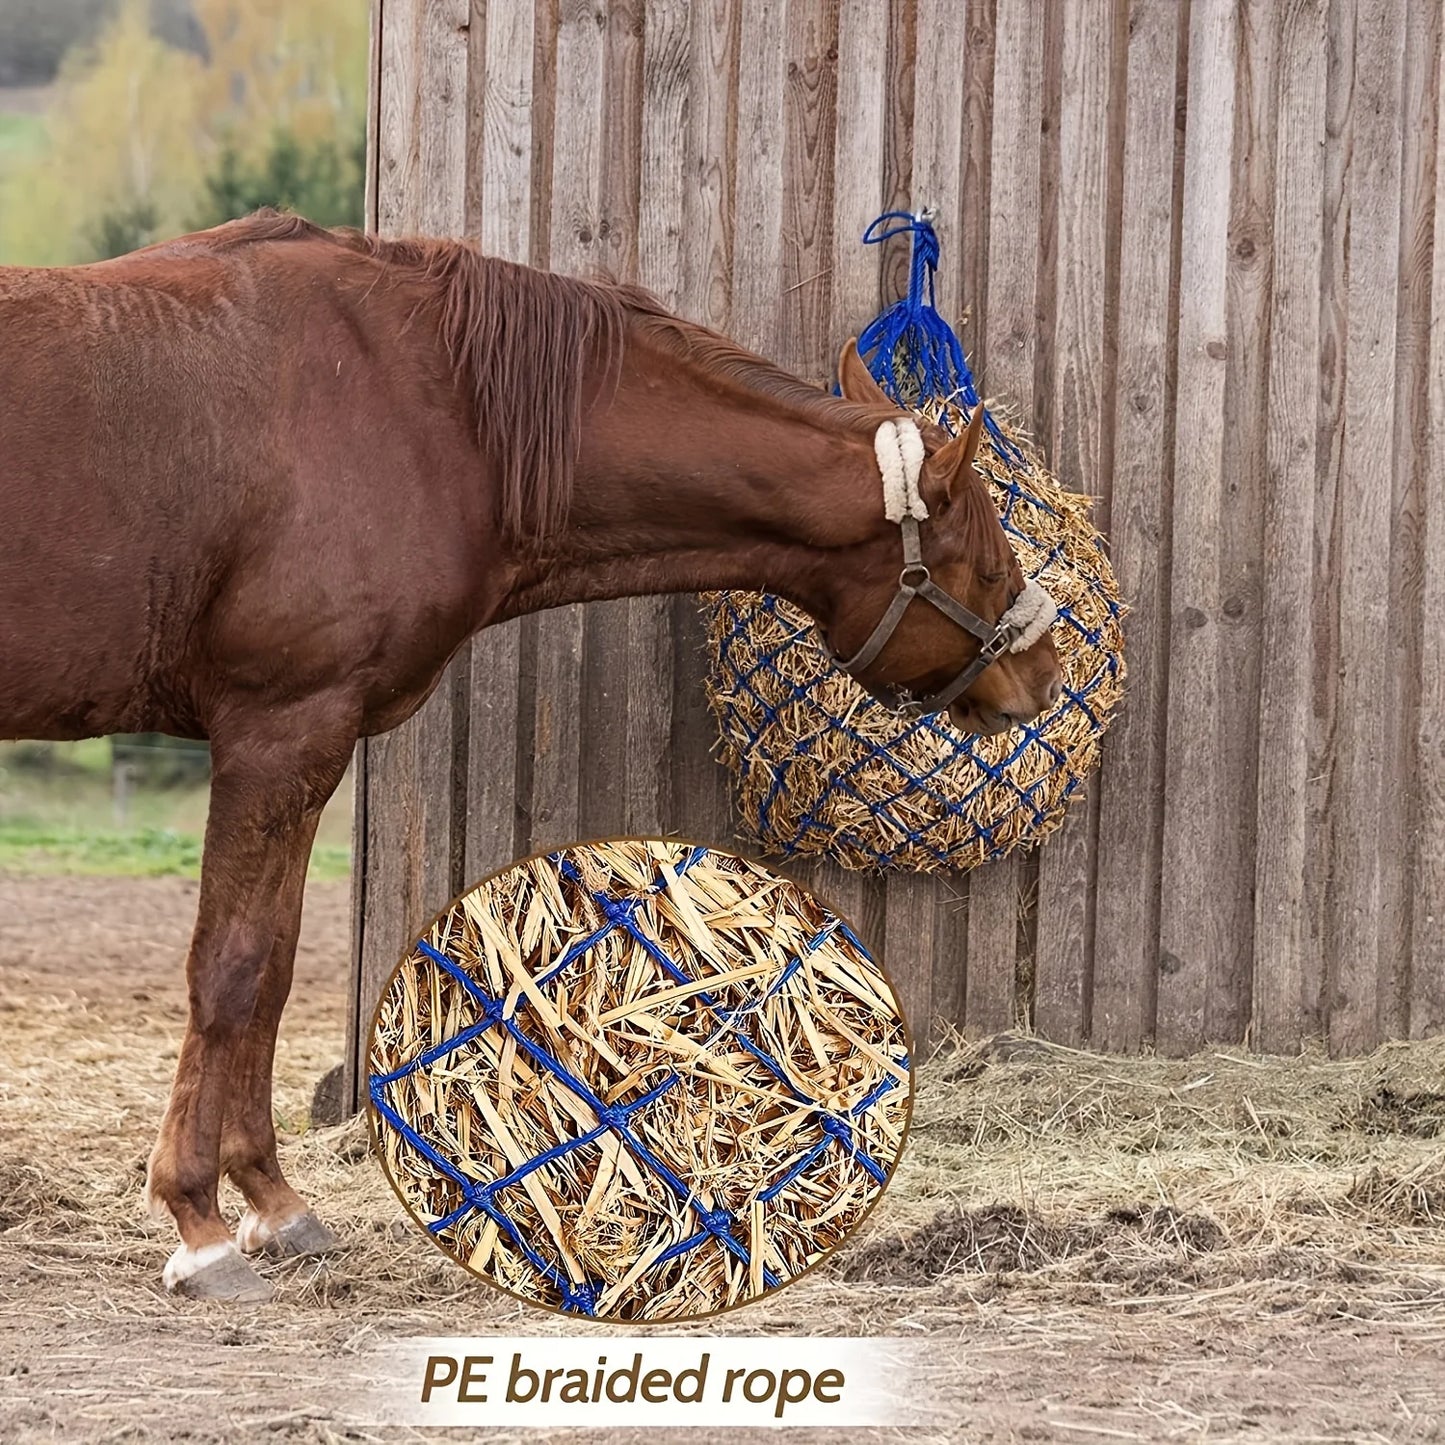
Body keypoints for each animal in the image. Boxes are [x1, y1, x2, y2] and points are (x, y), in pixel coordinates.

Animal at [0, 211, 1061, 1300]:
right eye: (983, 561)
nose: (1043, 676)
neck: (427, 408)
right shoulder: (279, 728)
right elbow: (232, 968)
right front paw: (199, 1224)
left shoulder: (302, 745)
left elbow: (277, 964)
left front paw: (274, 1202)